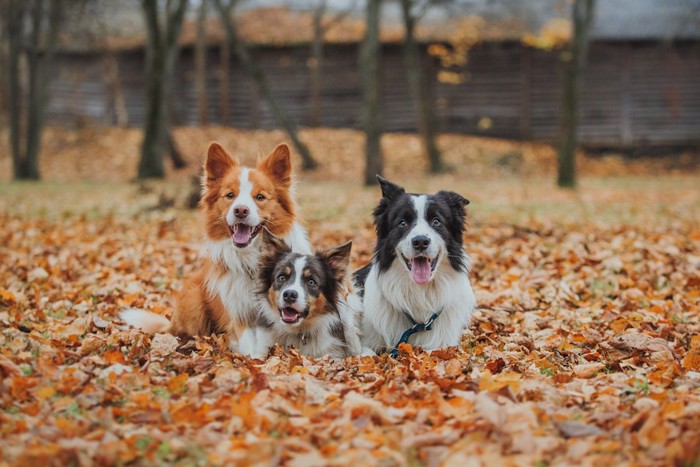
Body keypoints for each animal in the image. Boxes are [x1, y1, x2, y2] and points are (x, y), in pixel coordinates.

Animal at [121, 143, 312, 354]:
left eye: (260, 197)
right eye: (230, 195)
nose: (240, 210)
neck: (252, 259)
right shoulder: (238, 315)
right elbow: (250, 348)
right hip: (194, 299)